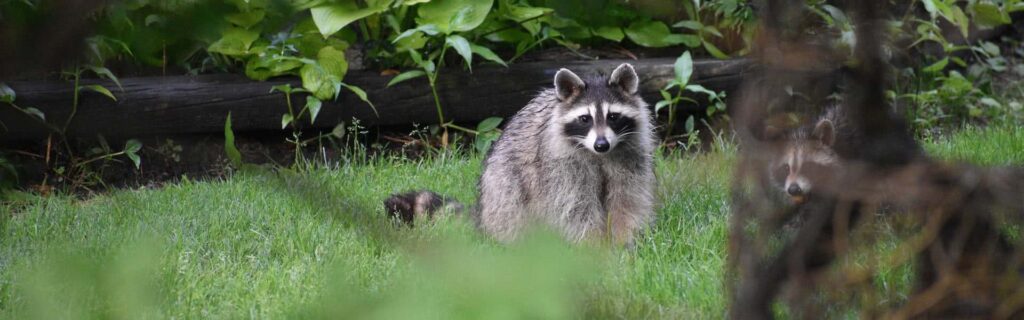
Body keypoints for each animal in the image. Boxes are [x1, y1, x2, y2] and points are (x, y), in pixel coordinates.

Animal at [385, 63, 655, 246]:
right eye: (585, 119)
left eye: (613, 116)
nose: (601, 144)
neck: (598, 157)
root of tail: (483, 213)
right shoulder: (561, 166)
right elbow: (575, 207)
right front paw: (594, 245)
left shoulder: (629, 156)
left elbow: (627, 199)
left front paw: (624, 241)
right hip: (501, 184)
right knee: (512, 202)